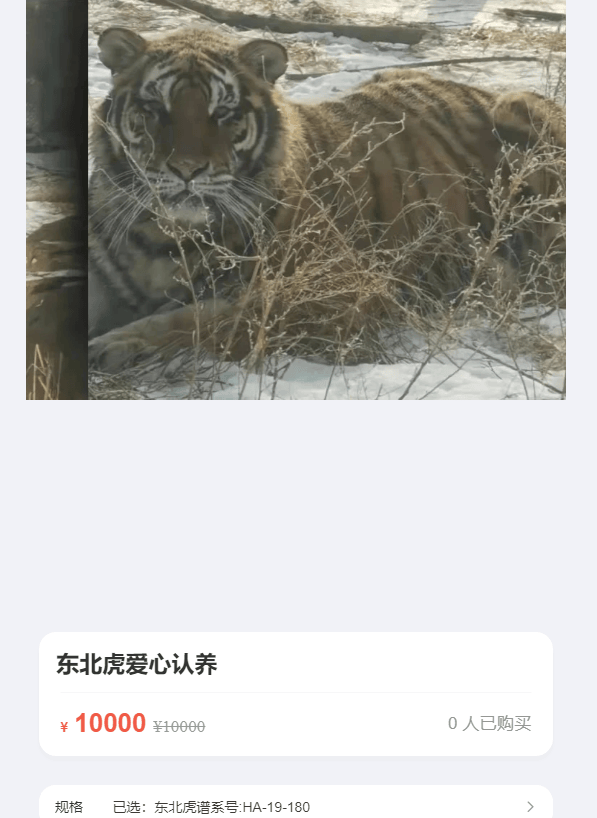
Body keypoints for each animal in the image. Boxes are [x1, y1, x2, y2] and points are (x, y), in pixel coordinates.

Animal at [88, 25, 565, 372]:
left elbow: (208, 317)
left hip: (519, 111)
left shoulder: (336, 291)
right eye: (154, 109)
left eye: (223, 113)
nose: (186, 171)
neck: (165, 238)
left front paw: (117, 343)